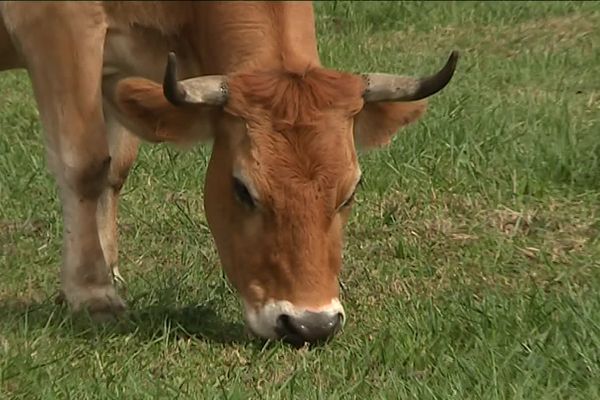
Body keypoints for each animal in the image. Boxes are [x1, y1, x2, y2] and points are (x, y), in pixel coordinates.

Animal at [1, 1, 460, 346]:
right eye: (242, 190)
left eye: (350, 192)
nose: (310, 325)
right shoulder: (59, 27)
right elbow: (85, 164)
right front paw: (92, 293)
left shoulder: (116, 71)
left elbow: (115, 169)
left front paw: (107, 272)